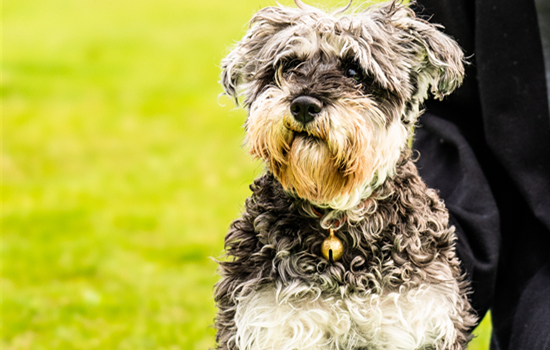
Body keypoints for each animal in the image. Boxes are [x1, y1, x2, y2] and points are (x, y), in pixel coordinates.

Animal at [216, 1, 478, 348]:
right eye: (289, 66)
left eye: (354, 71)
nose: (303, 105)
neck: (335, 220)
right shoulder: (273, 323)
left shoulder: (409, 320)